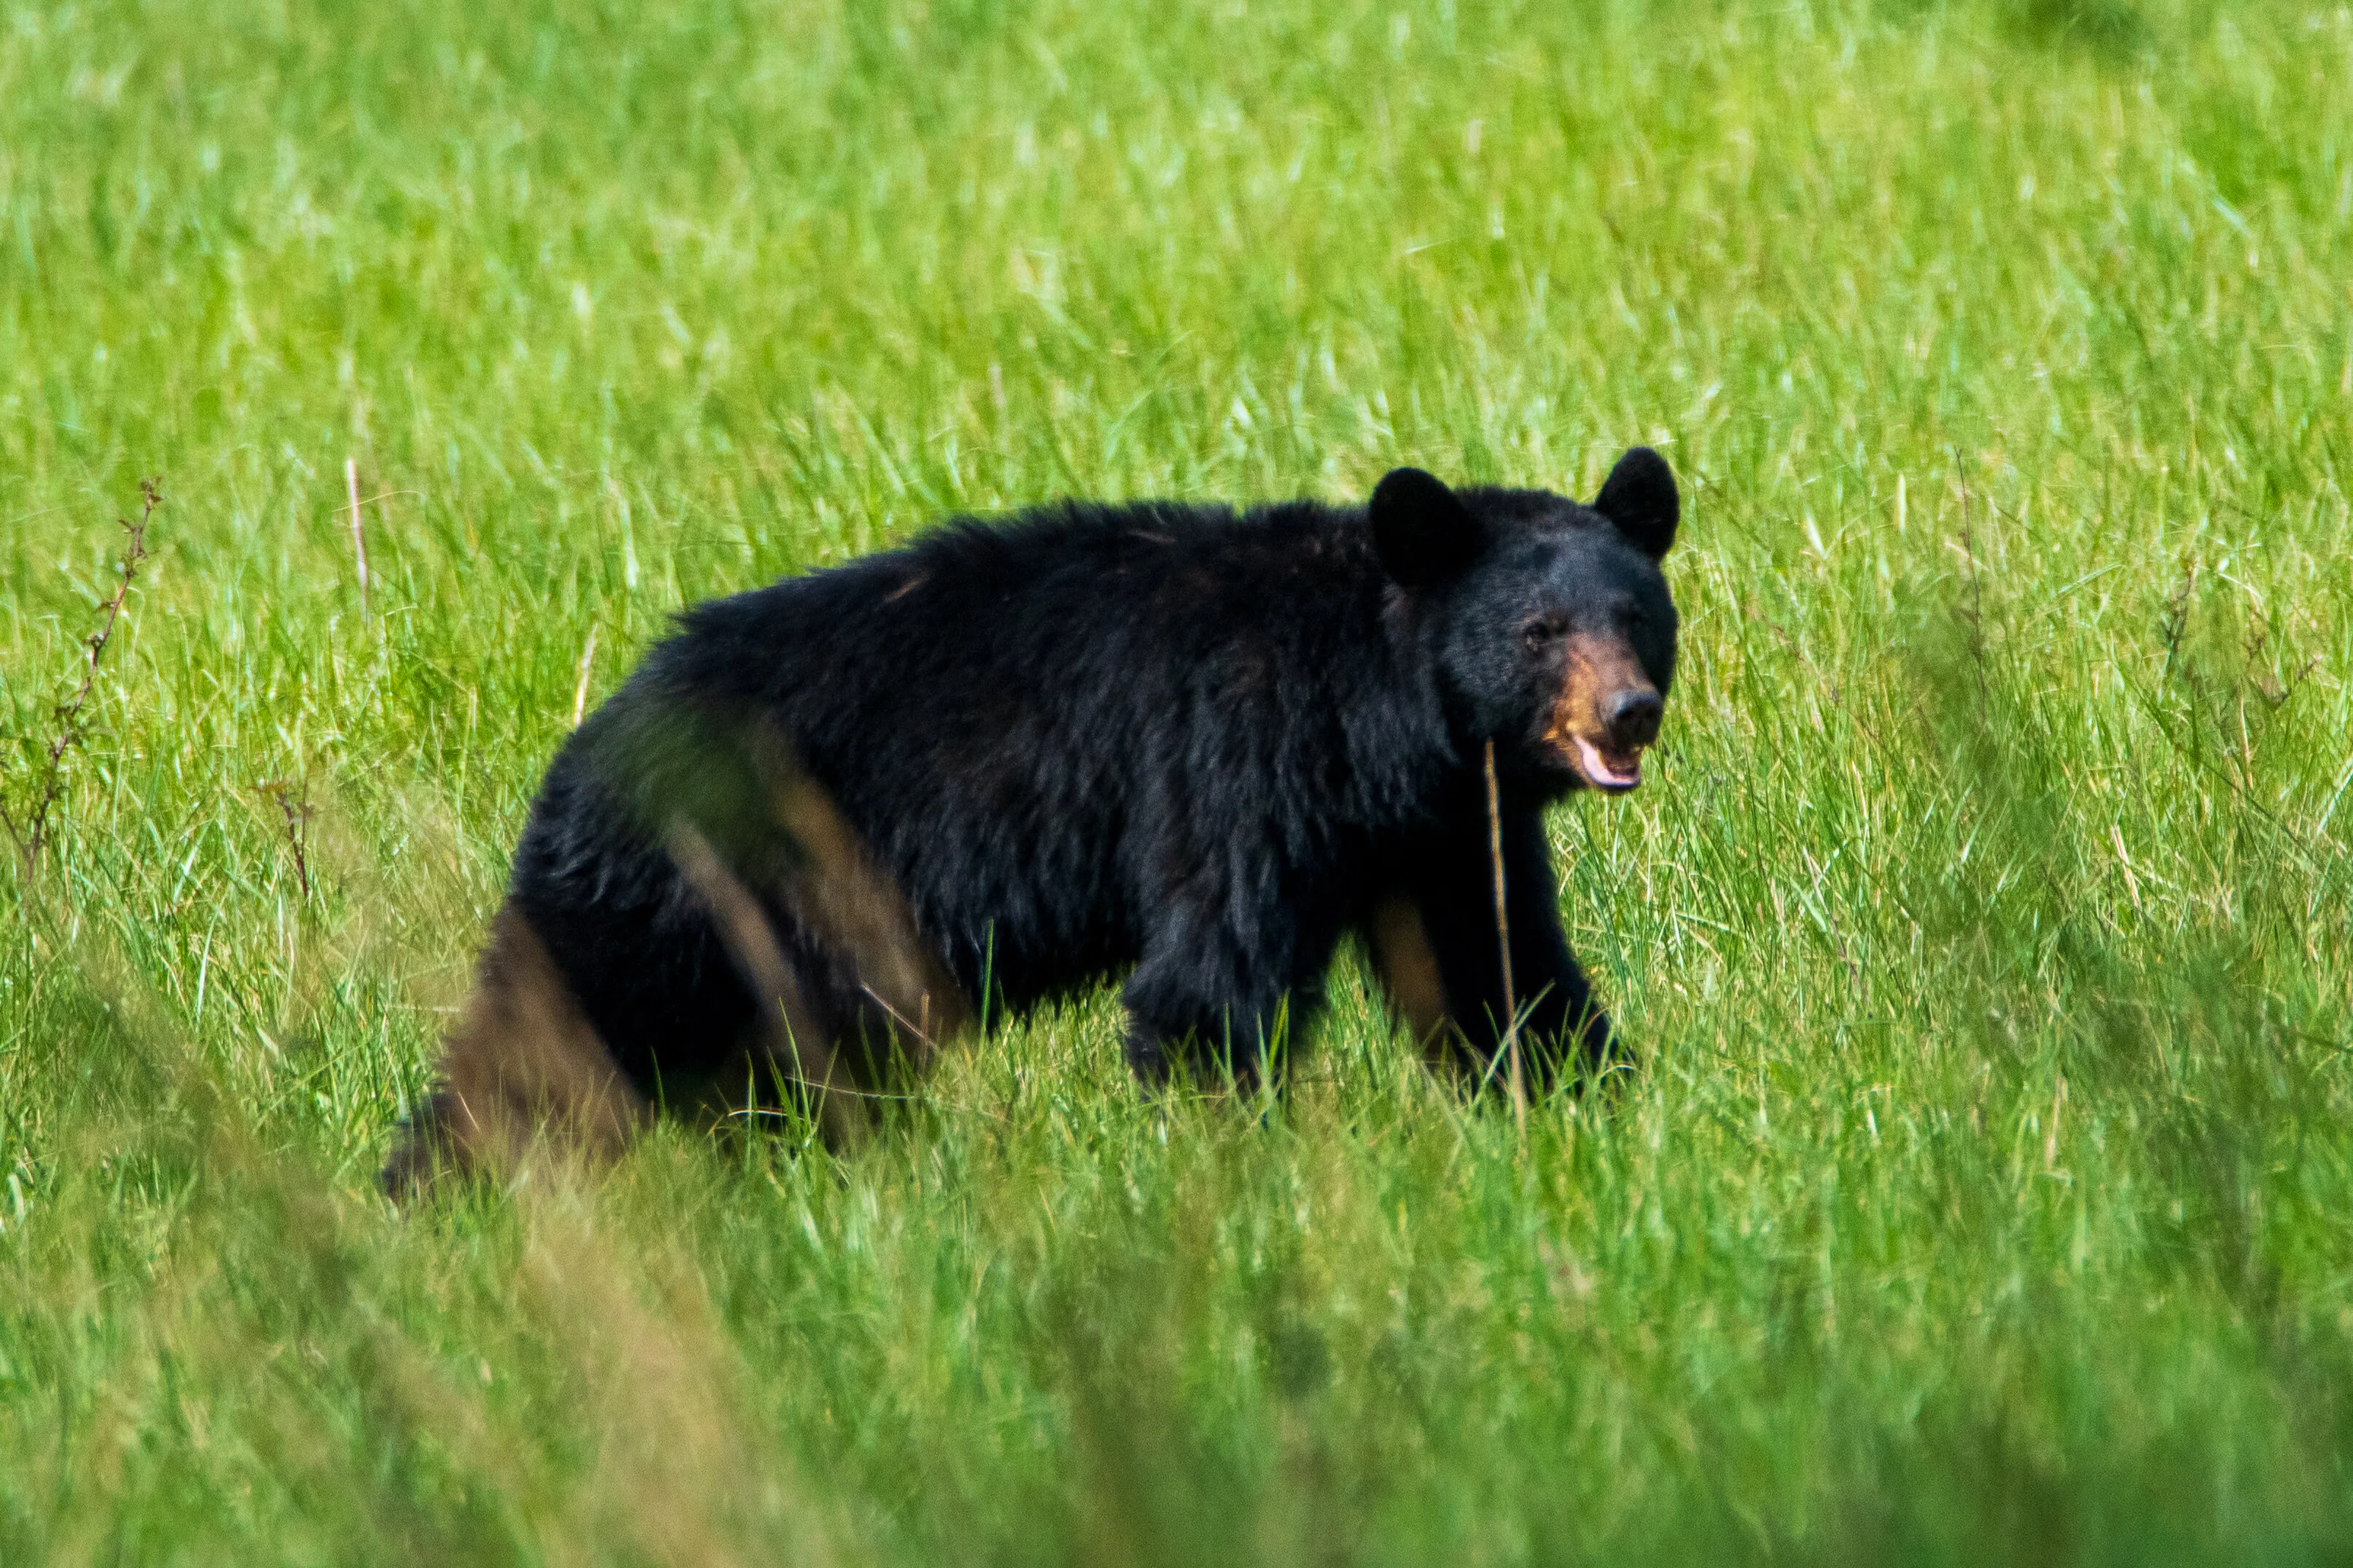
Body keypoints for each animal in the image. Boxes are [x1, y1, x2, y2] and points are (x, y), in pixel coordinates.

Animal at [382, 448, 1681, 1190]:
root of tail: (590, 735)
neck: (1378, 722)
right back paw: (437, 1200)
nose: (1629, 712)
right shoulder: (1234, 760)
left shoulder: (1442, 828)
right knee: (546, 1037)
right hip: (681, 890)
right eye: (1539, 631)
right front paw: (1227, 1168)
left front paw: (1588, 1105)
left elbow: (1494, 967)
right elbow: (1209, 978)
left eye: (1640, 614)